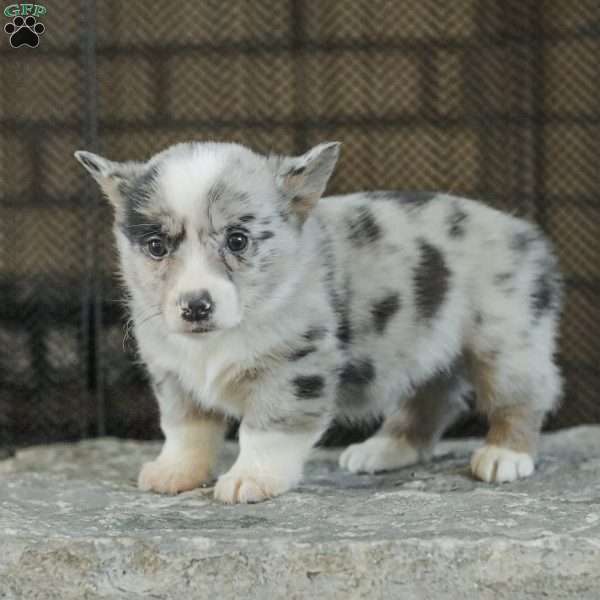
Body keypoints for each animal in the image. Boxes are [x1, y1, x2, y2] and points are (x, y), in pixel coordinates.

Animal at [75, 143, 564, 504]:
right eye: (156, 246)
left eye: (238, 240)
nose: (196, 306)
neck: (219, 339)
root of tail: (532, 238)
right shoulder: (174, 377)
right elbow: (185, 431)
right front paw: (173, 473)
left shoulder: (295, 370)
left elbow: (264, 431)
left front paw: (250, 480)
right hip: (427, 343)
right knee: (433, 398)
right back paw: (384, 449)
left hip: (506, 343)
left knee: (523, 396)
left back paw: (504, 456)